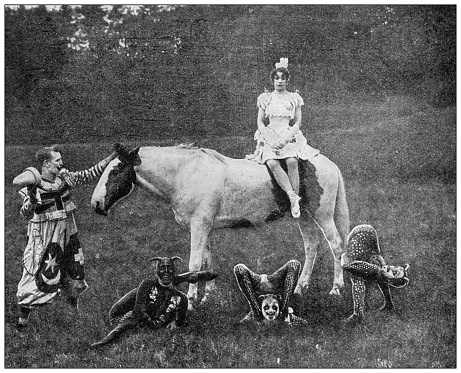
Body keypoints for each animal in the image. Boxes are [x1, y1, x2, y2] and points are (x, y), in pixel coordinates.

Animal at [90, 144, 348, 310]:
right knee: (311, 245)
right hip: (303, 215)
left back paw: (336, 288)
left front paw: (191, 302)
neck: (185, 174)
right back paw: (300, 288)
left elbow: (194, 264)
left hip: (322, 215)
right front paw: (208, 297)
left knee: (336, 245)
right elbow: (207, 262)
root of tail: (330, 165)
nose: (96, 203)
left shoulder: (199, 226)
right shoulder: (202, 227)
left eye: (116, 170)